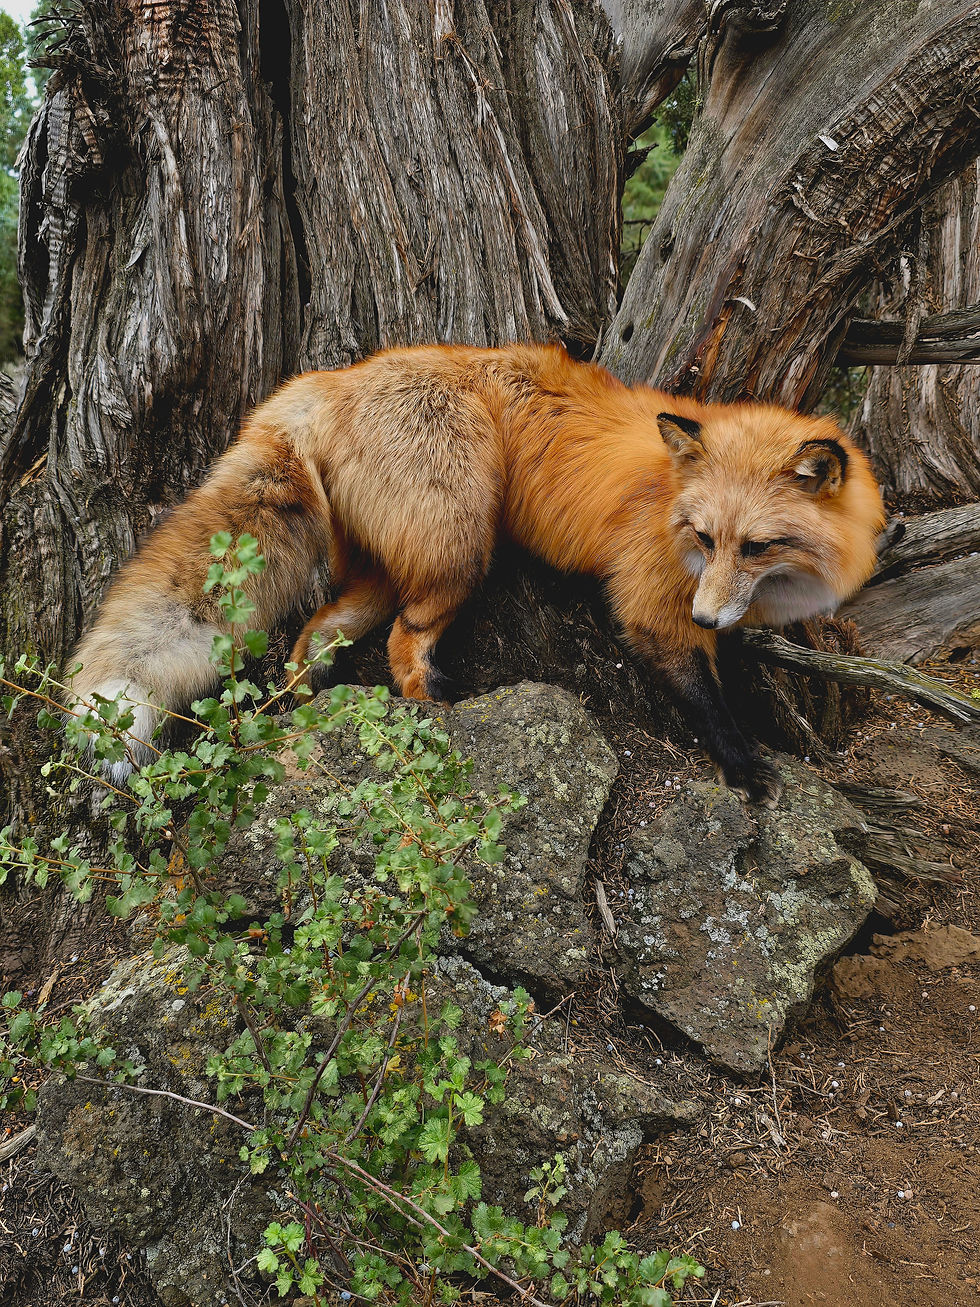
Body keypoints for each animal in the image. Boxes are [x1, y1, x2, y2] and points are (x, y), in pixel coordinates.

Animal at [66, 342, 886, 803]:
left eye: (758, 546)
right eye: (706, 536)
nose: (713, 617)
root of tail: (324, 382)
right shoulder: (653, 601)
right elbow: (705, 696)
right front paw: (744, 764)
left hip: (389, 570)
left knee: (315, 635)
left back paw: (309, 703)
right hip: (460, 552)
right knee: (403, 645)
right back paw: (434, 712)